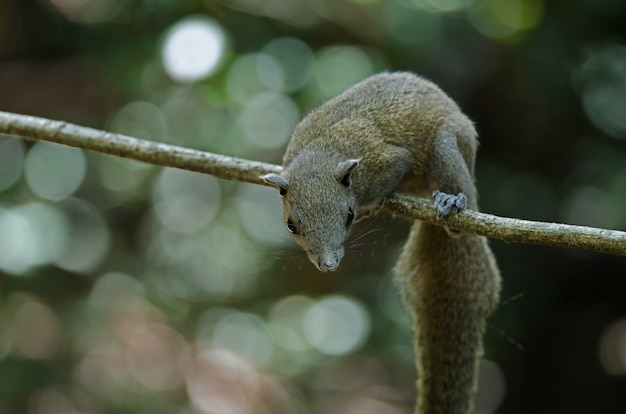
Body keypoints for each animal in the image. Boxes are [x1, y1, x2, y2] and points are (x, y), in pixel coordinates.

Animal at [260, 72, 500, 414]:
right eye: (291, 224)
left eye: (348, 215)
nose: (329, 264)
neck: (323, 151)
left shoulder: (386, 162)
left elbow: (396, 166)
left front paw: (371, 207)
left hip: (447, 148)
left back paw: (452, 202)